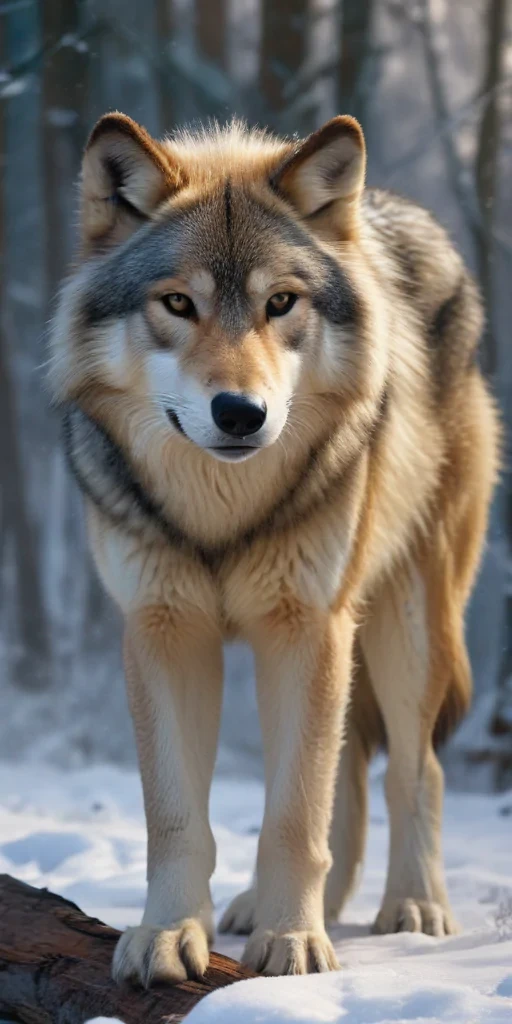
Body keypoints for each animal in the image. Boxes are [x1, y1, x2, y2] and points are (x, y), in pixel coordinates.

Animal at [49, 112, 499, 983]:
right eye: (179, 303)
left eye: (280, 302)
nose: (240, 412)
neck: (223, 515)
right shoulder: (166, 631)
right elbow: (177, 816)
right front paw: (168, 935)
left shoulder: (307, 626)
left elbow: (295, 813)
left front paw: (293, 945)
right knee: (348, 771)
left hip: (404, 626)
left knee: (414, 769)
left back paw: (413, 908)